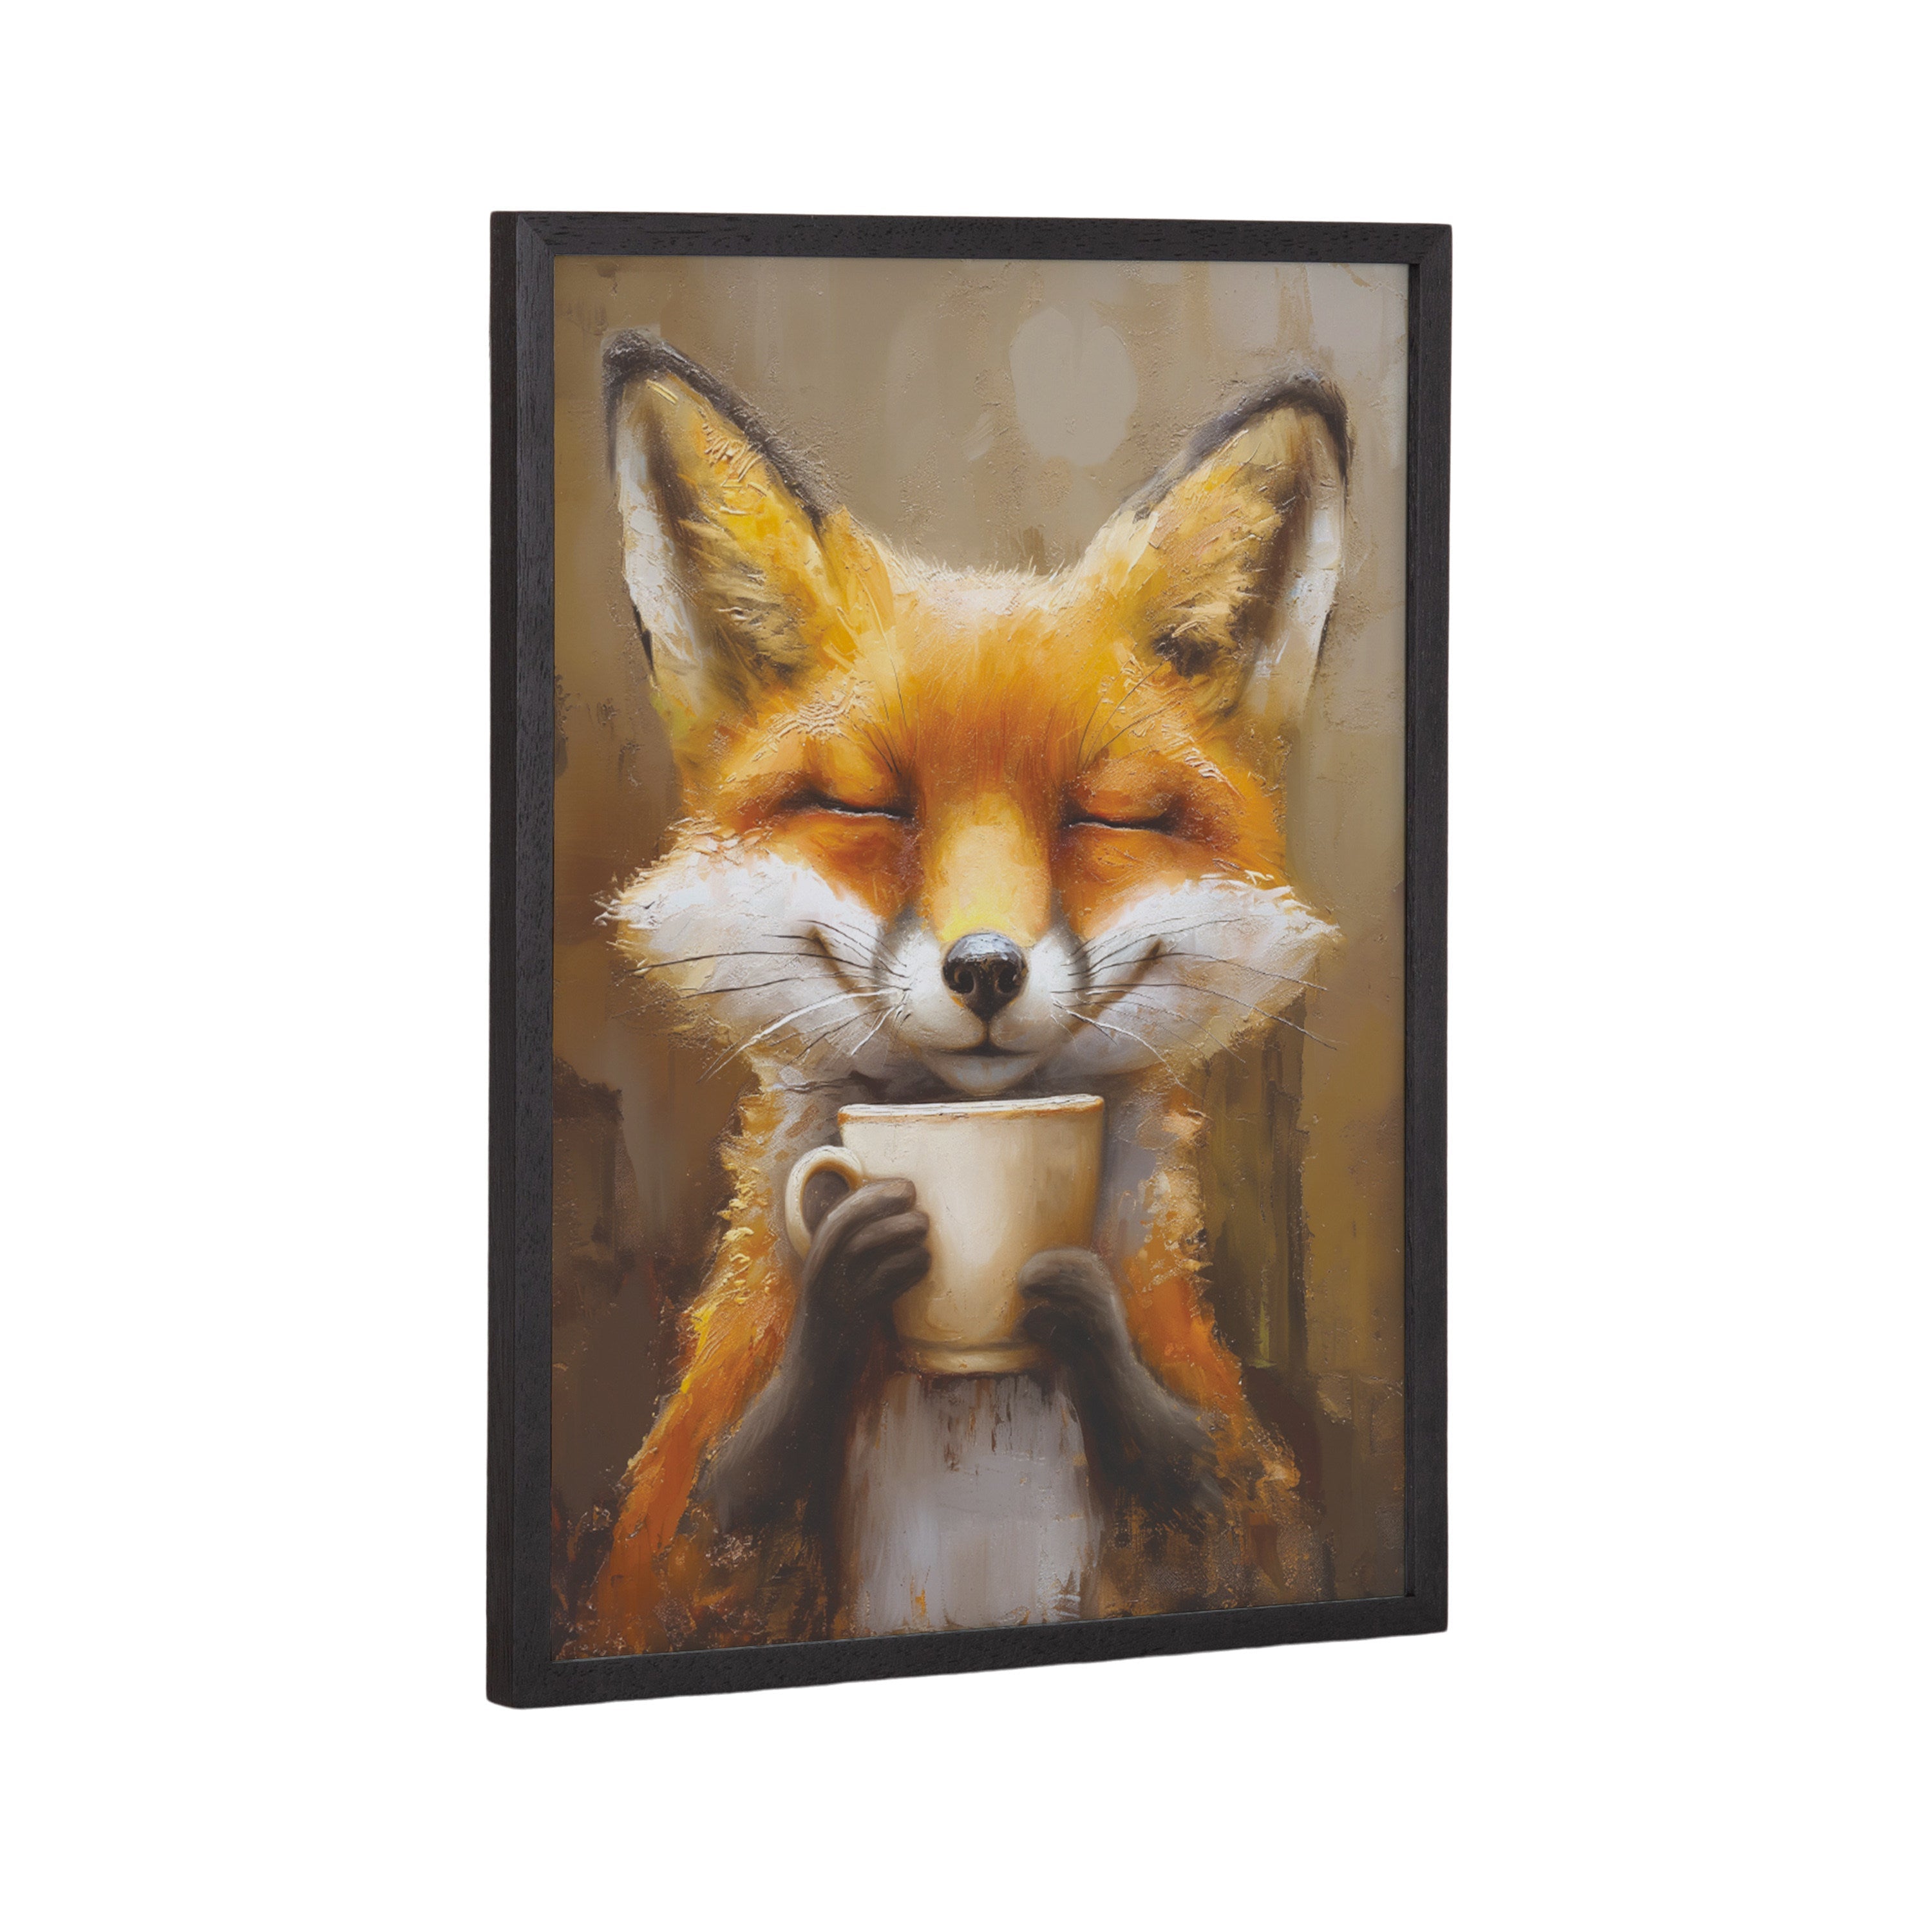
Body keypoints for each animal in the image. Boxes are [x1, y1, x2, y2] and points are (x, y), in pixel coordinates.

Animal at [569, 333, 1352, 1654]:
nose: (985, 969)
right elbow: (709, 1534)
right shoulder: (667, 1563)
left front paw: (1081, 1309)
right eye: (868, 805)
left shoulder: (1242, 1522)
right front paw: (846, 1283)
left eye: (1105, 817)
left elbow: (1208, 1497)